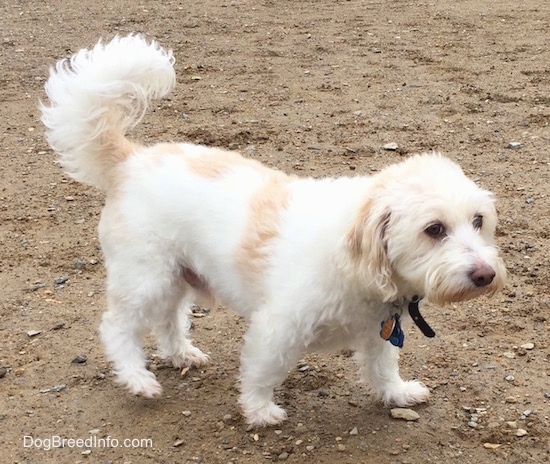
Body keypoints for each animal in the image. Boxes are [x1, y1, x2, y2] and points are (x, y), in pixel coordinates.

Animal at [42, 35, 508, 428]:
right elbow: (262, 371)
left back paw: (182, 354)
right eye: (434, 229)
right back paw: (137, 378)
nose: (486, 275)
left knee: (168, 320)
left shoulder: (378, 331)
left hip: (177, 276)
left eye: (478, 221)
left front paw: (396, 393)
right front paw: (260, 410)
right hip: (146, 277)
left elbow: (381, 367)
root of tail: (131, 160)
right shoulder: (277, 328)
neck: (354, 263)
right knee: (117, 326)